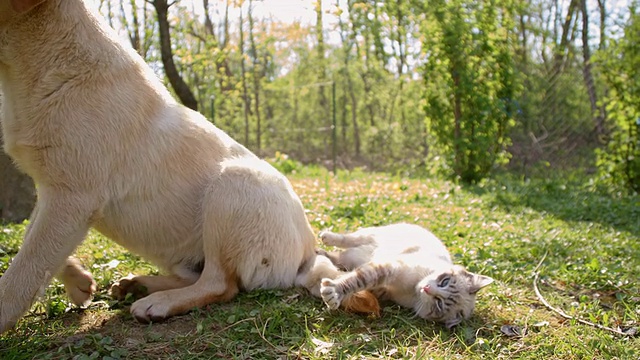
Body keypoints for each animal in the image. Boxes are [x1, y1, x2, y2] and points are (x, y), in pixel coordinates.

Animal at [0, 0, 350, 332]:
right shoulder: (53, 195)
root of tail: (308, 253)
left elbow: (24, 269)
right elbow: (32, 248)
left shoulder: (72, 199)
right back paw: (140, 285)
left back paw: (159, 302)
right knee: (195, 277)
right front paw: (78, 282)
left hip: (233, 182)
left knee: (220, 284)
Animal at [320, 225, 496, 330]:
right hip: (373, 235)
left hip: (351, 257)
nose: (427, 288)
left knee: (338, 257)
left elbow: (361, 282)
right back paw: (326, 237)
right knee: (349, 239)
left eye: (439, 304)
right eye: (444, 281)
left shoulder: (383, 287)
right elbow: (356, 280)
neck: (413, 289)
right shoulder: (389, 268)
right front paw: (334, 292)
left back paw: (321, 253)